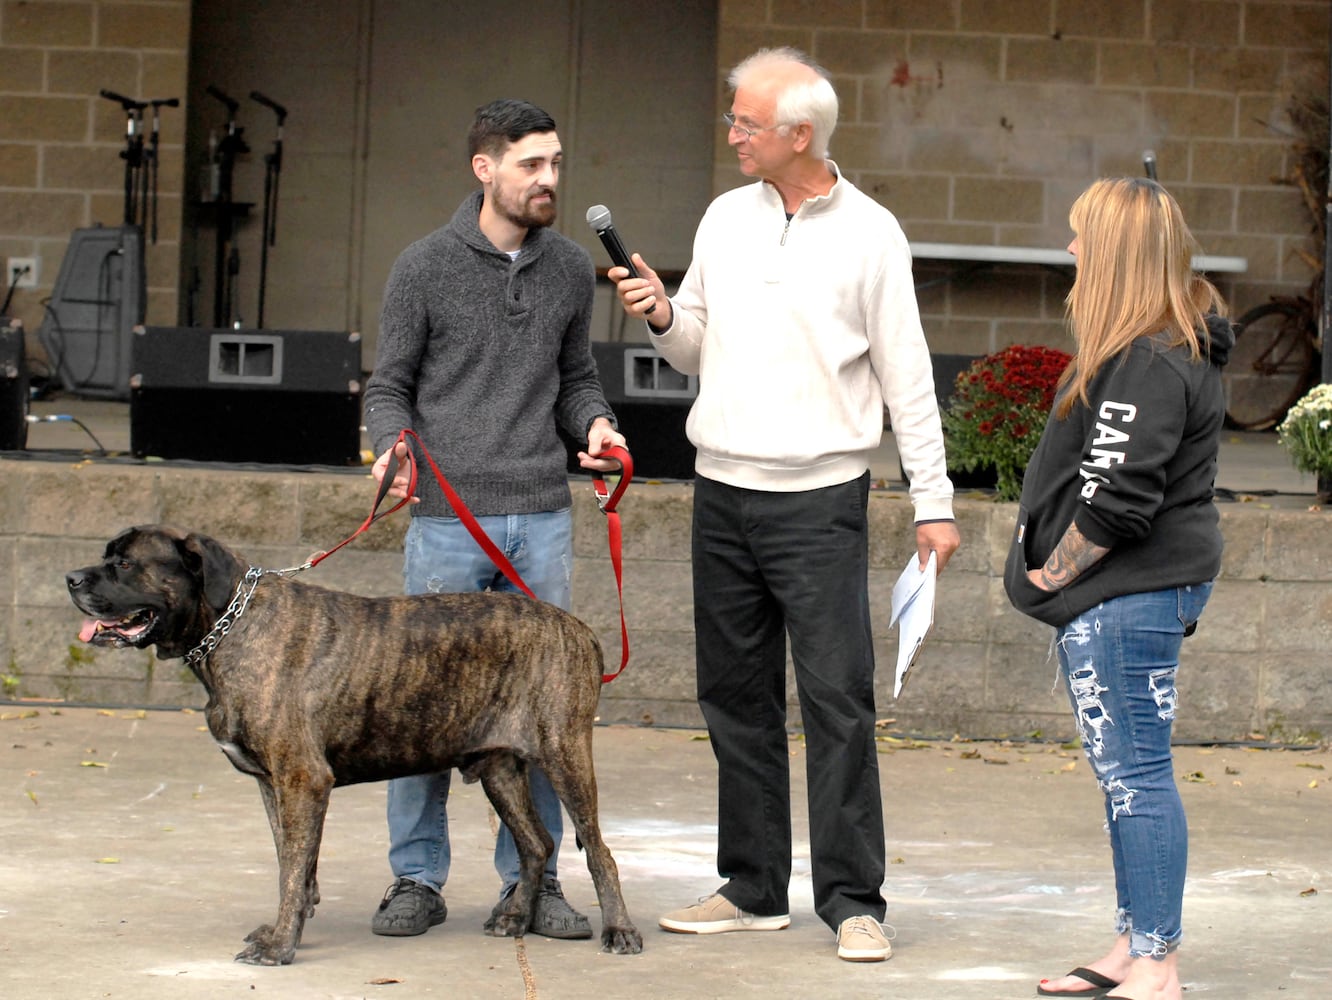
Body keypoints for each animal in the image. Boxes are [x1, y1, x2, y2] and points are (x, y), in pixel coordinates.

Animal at [64, 527, 642, 964]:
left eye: (124, 563)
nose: (70, 577)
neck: (230, 626)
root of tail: (582, 630)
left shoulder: (301, 780)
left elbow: (292, 868)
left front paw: (279, 946)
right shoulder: (273, 785)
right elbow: (291, 864)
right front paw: (289, 926)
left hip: (564, 753)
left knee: (599, 853)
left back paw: (618, 931)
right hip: (500, 768)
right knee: (536, 843)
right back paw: (514, 917)